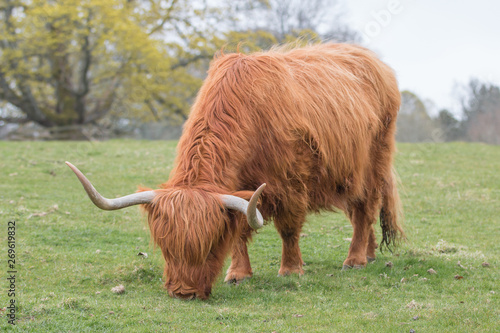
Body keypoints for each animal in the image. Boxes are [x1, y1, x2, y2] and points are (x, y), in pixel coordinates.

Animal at [66, 42, 404, 300]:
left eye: (209, 247)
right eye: (165, 247)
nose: (183, 292)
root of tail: (372, 59)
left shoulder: (291, 183)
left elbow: (289, 229)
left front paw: (291, 270)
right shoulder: (239, 193)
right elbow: (240, 231)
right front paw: (238, 274)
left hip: (372, 165)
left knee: (364, 210)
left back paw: (355, 259)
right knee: (362, 215)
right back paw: (370, 254)